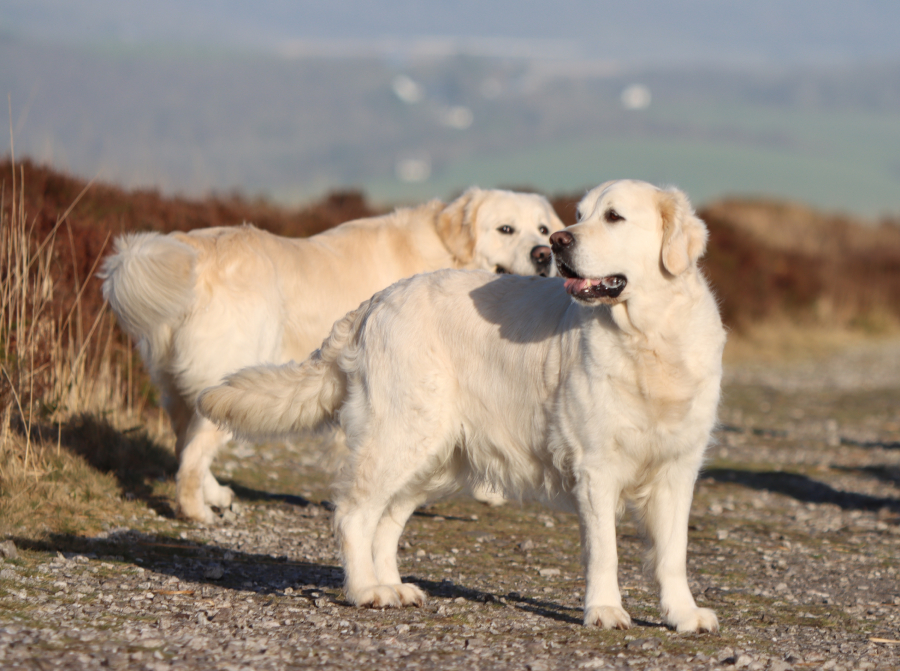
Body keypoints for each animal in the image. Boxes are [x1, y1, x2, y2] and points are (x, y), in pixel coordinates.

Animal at [100, 188, 564, 523]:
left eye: (543, 228)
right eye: (505, 229)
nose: (544, 254)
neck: (447, 252)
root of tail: (193, 252)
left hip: (183, 386)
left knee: (186, 441)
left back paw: (215, 495)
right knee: (194, 454)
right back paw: (196, 511)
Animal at [198, 179, 724, 633]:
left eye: (614, 217)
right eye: (577, 216)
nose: (557, 243)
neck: (650, 338)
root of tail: (375, 301)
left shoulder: (679, 469)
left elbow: (673, 553)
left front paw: (683, 614)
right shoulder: (596, 467)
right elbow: (605, 551)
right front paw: (605, 610)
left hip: (434, 457)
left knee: (386, 522)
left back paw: (393, 586)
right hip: (402, 434)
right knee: (354, 514)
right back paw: (366, 590)